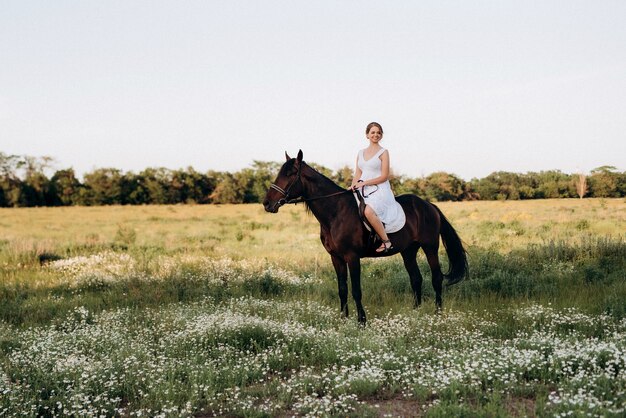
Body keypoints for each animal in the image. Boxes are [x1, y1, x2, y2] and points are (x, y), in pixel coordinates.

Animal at [260, 149, 466, 324]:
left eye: (290, 174)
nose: (267, 203)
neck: (336, 212)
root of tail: (429, 205)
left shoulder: (352, 257)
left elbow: (356, 290)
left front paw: (361, 321)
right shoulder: (336, 258)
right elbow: (342, 289)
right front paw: (343, 319)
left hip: (430, 247)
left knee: (436, 278)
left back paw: (437, 315)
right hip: (408, 251)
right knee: (416, 279)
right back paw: (414, 314)